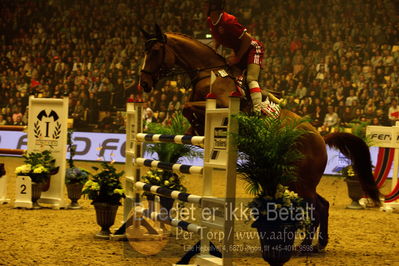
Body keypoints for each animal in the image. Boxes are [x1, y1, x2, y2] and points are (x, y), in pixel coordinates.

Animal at [139, 25, 380, 251]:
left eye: (155, 51)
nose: (144, 84)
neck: (209, 74)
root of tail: (320, 137)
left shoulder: (223, 107)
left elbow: (187, 106)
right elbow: (188, 123)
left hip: (299, 179)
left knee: (317, 207)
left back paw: (307, 245)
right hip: (294, 179)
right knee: (321, 204)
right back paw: (319, 244)